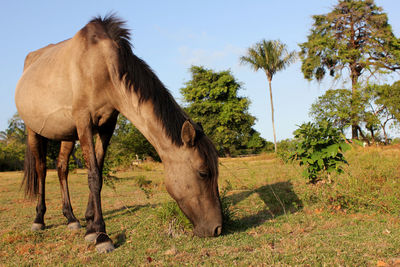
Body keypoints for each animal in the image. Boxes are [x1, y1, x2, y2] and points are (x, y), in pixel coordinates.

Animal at [14, 14, 222, 253]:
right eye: (203, 173)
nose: (217, 228)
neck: (101, 64)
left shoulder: (107, 126)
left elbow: (98, 172)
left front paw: (91, 226)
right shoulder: (84, 122)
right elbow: (93, 176)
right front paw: (103, 236)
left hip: (67, 134)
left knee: (61, 169)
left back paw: (71, 218)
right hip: (33, 131)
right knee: (41, 169)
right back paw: (39, 219)